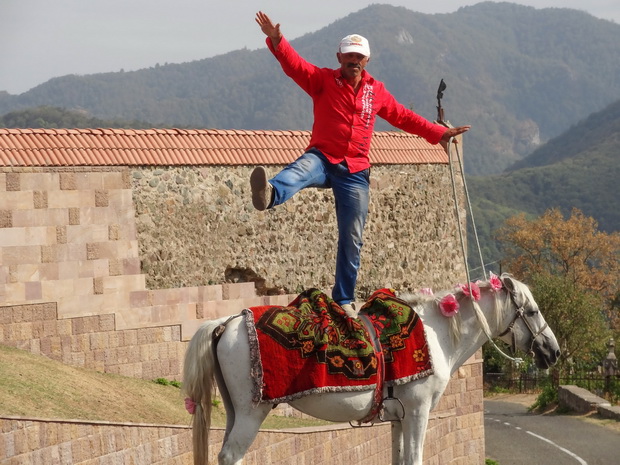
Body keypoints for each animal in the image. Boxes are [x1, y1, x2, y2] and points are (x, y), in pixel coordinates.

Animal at [183, 274, 560, 464]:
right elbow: (415, 459)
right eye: (533, 311)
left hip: (235, 411)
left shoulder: (397, 417)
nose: (553, 351)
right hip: (252, 413)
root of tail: (228, 322)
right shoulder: (418, 412)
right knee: (231, 455)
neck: (436, 333)